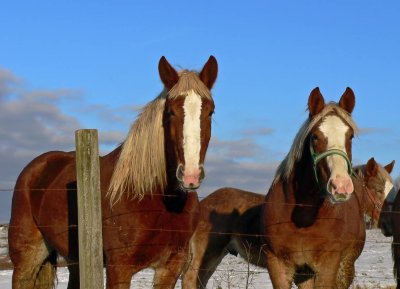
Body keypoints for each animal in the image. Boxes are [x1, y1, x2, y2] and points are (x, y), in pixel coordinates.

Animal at [7, 56, 219, 288]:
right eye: (171, 111)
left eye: (210, 111)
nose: (190, 176)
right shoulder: (119, 267)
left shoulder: (171, 266)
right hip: (27, 257)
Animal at [183, 156, 396, 286]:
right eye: (378, 189)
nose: (388, 222)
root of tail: (204, 203)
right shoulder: (342, 266)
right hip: (207, 252)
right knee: (191, 279)